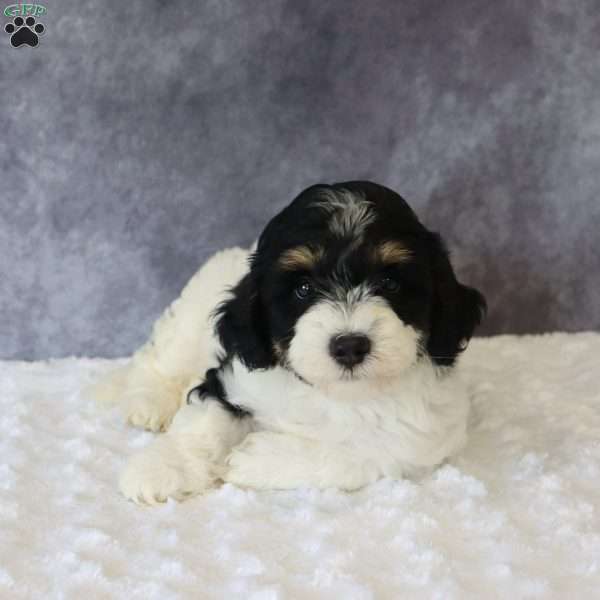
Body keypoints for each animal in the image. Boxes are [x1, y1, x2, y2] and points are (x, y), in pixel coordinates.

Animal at [91, 180, 486, 504]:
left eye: (390, 283)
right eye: (303, 289)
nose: (349, 346)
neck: (332, 393)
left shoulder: (425, 434)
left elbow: (363, 450)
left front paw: (252, 459)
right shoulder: (235, 376)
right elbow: (207, 419)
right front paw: (160, 468)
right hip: (195, 308)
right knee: (162, 356)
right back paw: (148, 402)